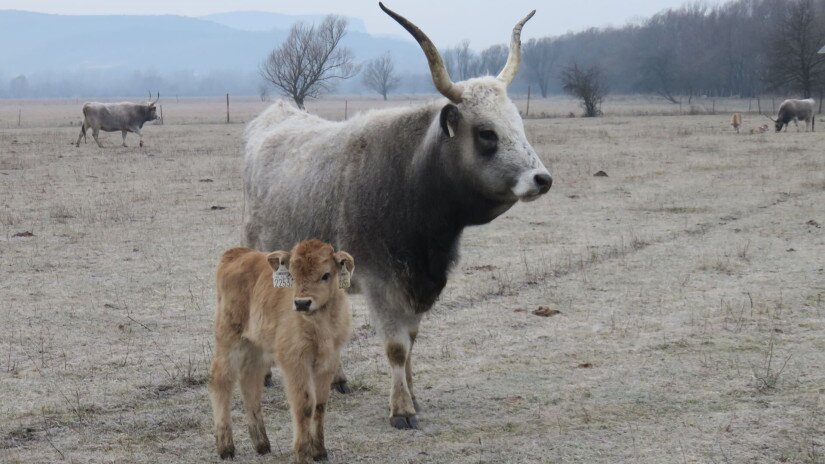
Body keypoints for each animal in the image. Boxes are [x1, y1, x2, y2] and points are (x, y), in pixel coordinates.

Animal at [208, 241, 352, 462]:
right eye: (291, 274)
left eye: (326, 274)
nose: (302, 303)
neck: (320, 325)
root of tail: (237, 253)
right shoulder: (295, 361)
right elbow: (304, 405)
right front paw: (302, 454)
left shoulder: (329, 361)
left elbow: (319, 405)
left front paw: (320, 452)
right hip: (228, 337)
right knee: (221, 380)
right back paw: (226, 448)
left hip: (256, 346)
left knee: (250, 383)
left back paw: (262, 444)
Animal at [238, 1, 552, 436]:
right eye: (487, 133)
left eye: (519, 126)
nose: (542, 179)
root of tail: (275, 114)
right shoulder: (381, 282)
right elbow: (396, 347)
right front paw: (401, 409)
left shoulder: (417, 283)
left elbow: (412, 341)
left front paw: (414, 396)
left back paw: (335, 377)